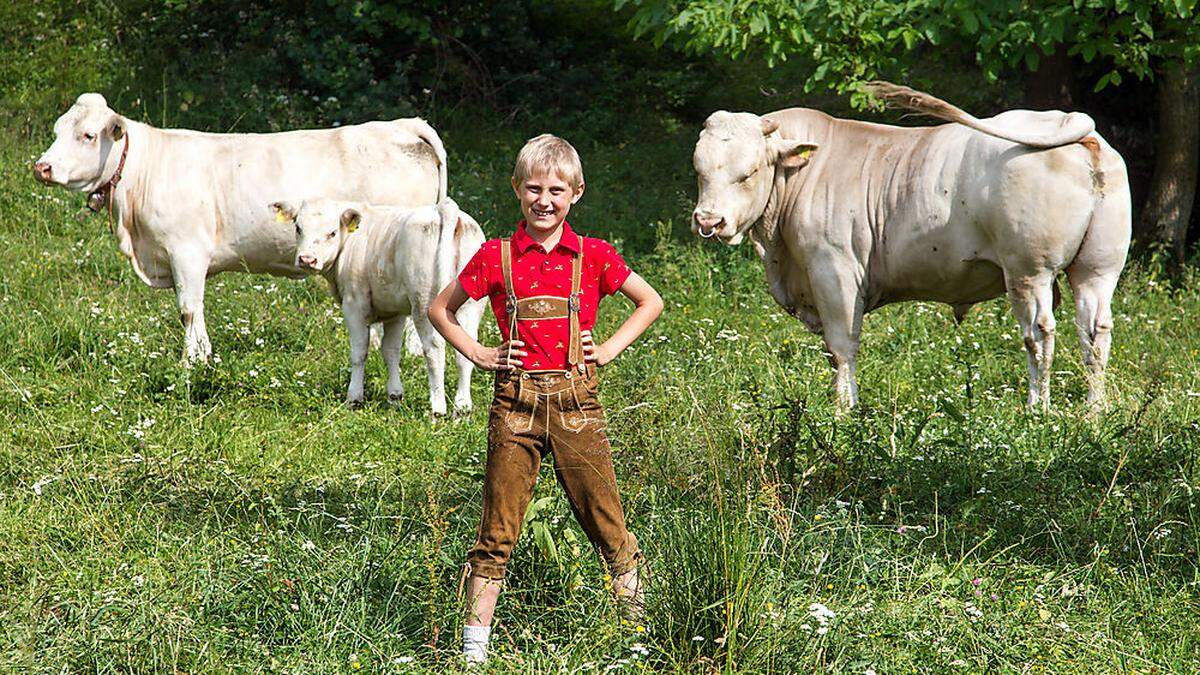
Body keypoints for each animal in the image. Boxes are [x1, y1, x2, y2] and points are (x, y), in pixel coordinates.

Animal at [38, 93, 451, 362]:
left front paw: (193, 362)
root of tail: (400, 126)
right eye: (56, 131)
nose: (42, 166)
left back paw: (414, 354)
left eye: (88, 135)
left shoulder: (186, 250)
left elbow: (189, 309)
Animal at [274, 196, 487, 413]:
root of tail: (444, 208)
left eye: (332, 232)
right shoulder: (395, 311)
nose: (307, 259)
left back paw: (438, 408)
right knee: (466, 350)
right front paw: (395, 396)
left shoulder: (354, 305)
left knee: (433, 349)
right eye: (298, 228)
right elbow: (391, 351)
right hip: (469, 306)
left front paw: (354, 398)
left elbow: (359, 351)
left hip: (424, 303)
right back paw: (462, 407)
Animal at [691, 84, 1128, 410]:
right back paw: (1094, 410)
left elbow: (841, 347)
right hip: (1097, 270)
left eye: (749, 172)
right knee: (1095, 332)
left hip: (1028, 272)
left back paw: (1038, 410)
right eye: (699, 170)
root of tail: (1069, 124)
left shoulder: (834, 271)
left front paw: (843, 410)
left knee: (1039, 334)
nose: (709, 221)